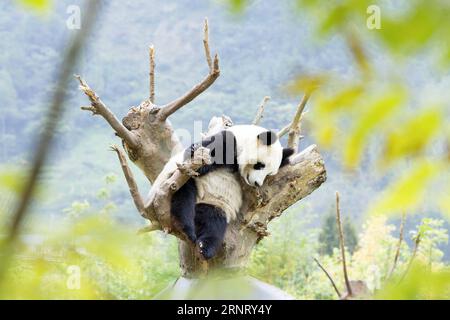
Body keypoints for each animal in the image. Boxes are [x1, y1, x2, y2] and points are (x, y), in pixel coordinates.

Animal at [149, 124, 296, 258]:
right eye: (260, 165)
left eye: (268, 174)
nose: (257, 183)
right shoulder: (229, 141)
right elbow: (201, 155)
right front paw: (195, 152)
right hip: (173, 182)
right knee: (184, 195)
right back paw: (187, 227)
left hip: (214, 205)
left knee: (214, 221)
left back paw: (205, 247)